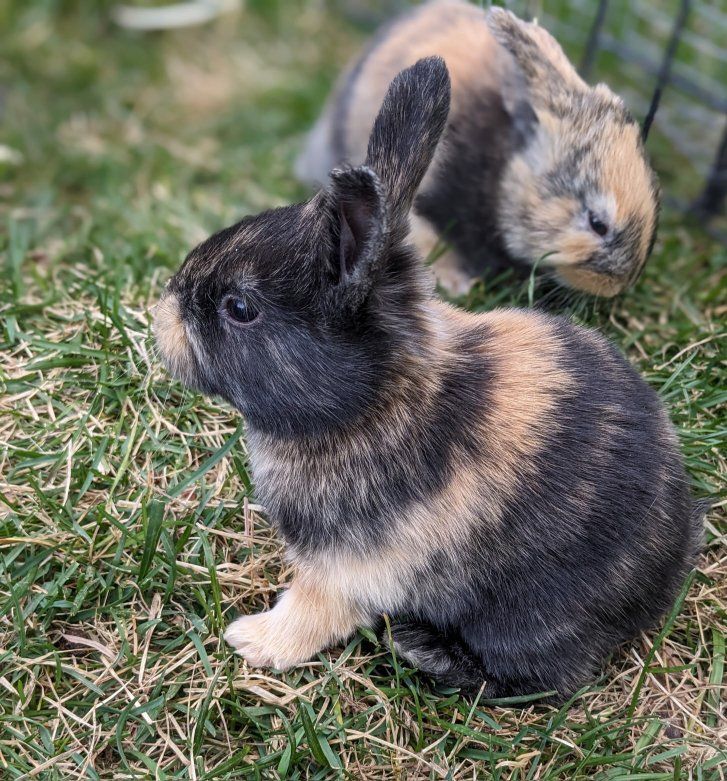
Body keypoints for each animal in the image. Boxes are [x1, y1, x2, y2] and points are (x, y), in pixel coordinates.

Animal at [154, 57, 702, 699]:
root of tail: (665, 573)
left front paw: (253, 641)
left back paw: (420, 649)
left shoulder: (348, 571)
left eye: (239, 308)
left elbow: (312, 612)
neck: (374, 402)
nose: (163, 313)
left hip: (523, 620)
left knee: (533, 680)